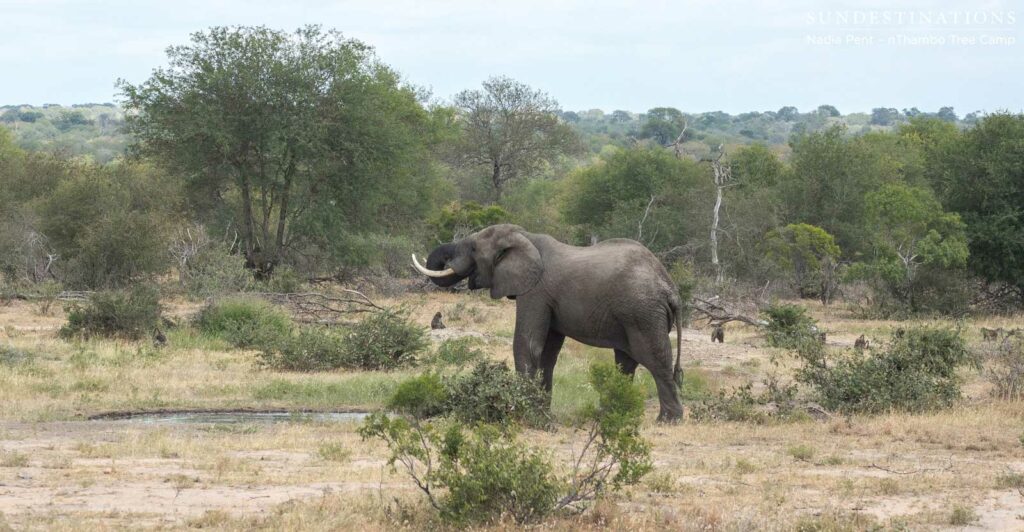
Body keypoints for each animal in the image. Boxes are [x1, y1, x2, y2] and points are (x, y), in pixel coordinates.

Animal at [412, 224, 684, 421]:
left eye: (474, 249)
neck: (524, 236)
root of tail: (671, 289)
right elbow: (547, 353)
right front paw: (542, 415)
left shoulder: (536, 292)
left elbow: (528, 343)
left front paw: (523, 412)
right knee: (625, 362)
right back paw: (611, 413)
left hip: (643, 313)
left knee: (654, 358)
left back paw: (668, 420)